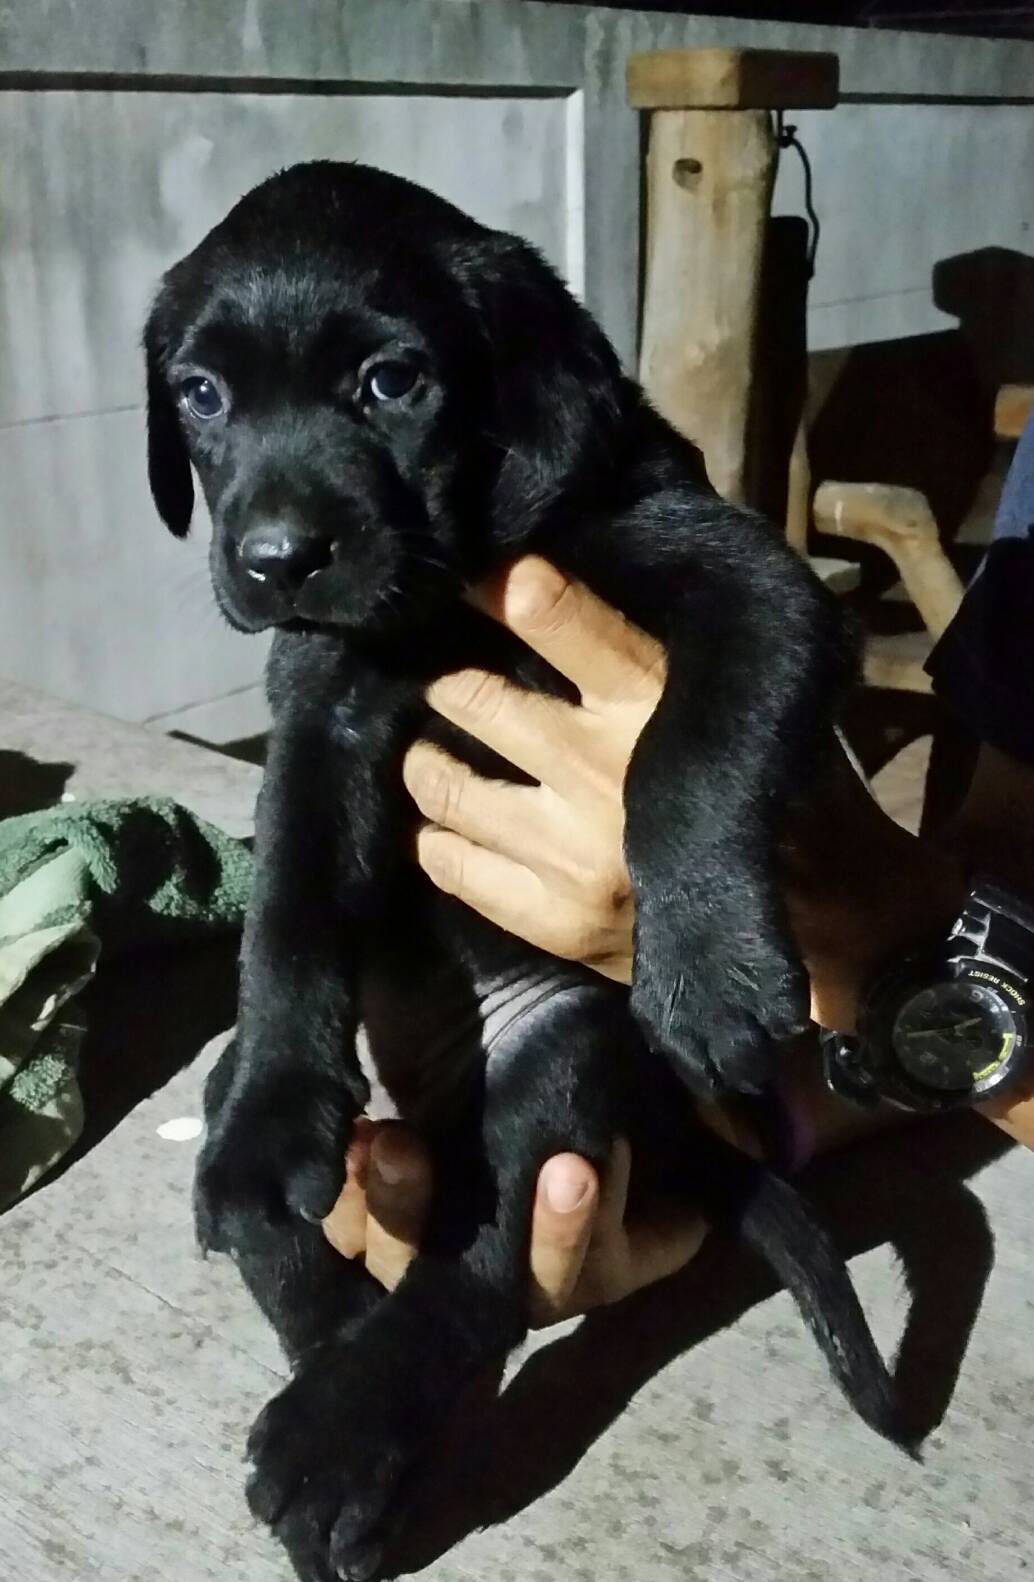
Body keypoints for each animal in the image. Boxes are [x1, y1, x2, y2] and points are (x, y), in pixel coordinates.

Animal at [145, 161, 904, 1582]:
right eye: (201, 395)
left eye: (391, 381)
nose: (275, 560)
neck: (445, 577)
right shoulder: (318, 700)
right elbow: (287, 902)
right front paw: (275, 1114)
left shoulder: (745, 581)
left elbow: (681, 755)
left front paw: (707, 972)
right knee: (294, 1230)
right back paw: (325, 1350)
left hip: (565, 1046)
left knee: (479, 1265)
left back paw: (338, 1438)